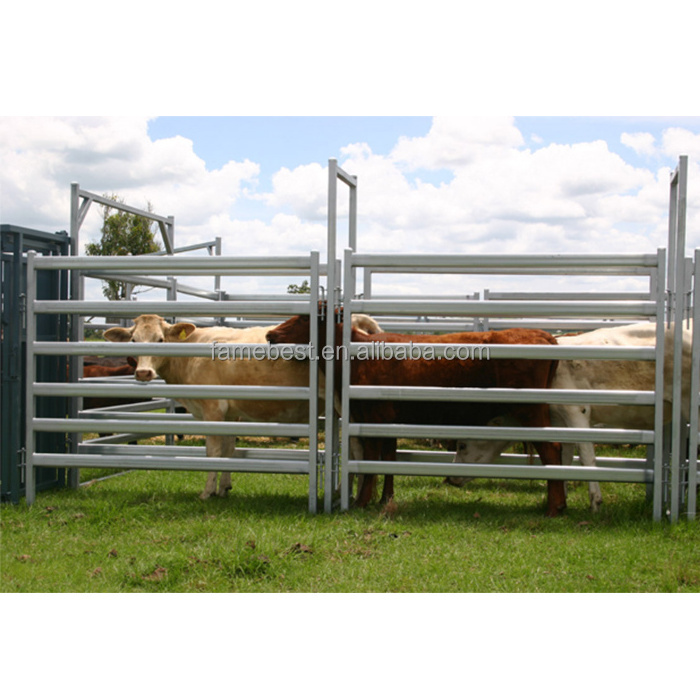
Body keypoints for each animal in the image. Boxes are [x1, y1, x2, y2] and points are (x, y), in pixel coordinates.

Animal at [266, 314, 568, 516]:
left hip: (530, 411)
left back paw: (554, 507)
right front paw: (384, 499)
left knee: (552, 448)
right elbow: (388, 459)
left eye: (303, 318)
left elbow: (373, 460)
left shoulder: (373, 417)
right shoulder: (387, 421)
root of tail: (543, 335)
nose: (270, 335)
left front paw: (363, 501)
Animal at [452, 320, 692, 512]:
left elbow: (586, 456)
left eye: (462, 445)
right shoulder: (560, 421)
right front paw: (561, 498)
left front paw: (595, 502)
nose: (450, 479)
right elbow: (564, 457)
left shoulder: (576, 411)